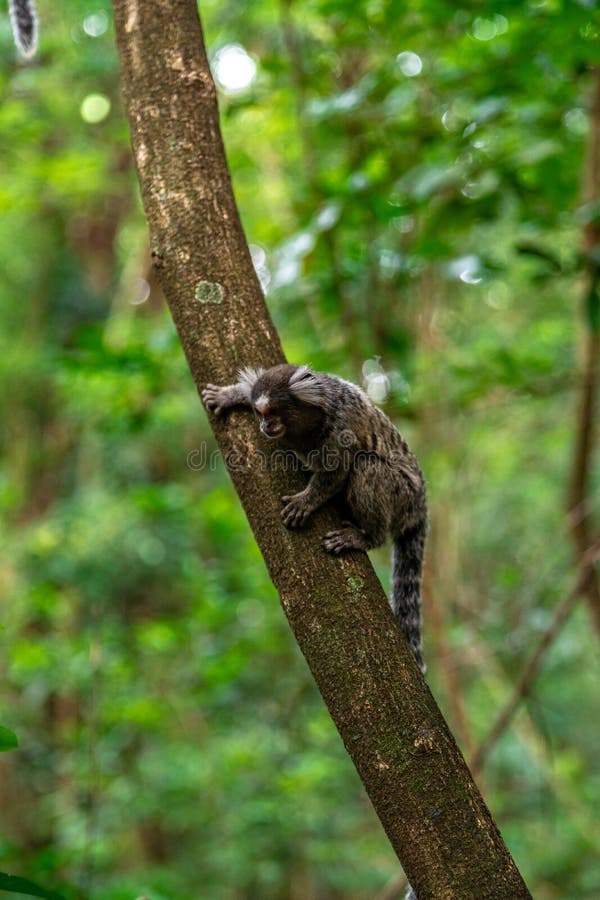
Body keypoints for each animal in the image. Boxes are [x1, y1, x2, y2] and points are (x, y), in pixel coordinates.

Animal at [204, 362, 428, 672]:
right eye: (259, 412)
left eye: (273, 412)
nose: (264, 426)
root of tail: (419, 501)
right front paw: (230, 395)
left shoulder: (340, 431)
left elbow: (336, 471)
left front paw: (305, 502)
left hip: (402, 495)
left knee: (367, 466)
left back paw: (365, 537)